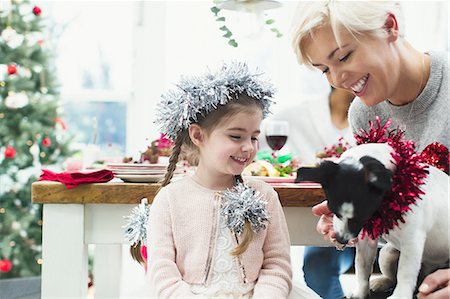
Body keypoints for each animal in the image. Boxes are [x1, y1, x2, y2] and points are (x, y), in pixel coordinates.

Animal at [298, 143, 448, 299]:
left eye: (362, 216)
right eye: (333, 210)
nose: (341, 240)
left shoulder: (412, 242)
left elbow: (405, 273)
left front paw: (400, 295)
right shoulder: (366, 240)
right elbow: (362, 267)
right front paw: (361, 292)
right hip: (387, 254)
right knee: (392, 277)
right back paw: (381, 282)